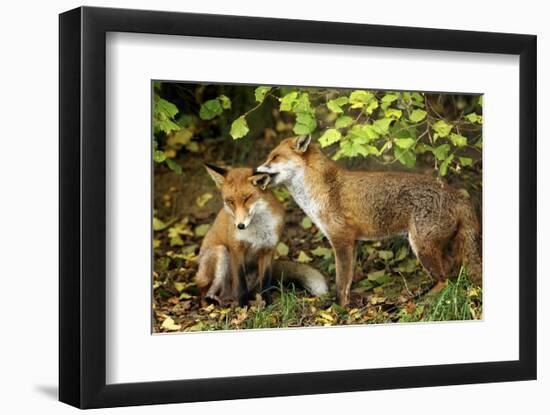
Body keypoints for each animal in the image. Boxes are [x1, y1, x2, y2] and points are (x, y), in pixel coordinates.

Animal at [197, 165, 330, 306]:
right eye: (230, 201)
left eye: (247, 198)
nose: (240, 226)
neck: (256, 233)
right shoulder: (236, 249)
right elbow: (240, 281)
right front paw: (243, 304)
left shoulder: (268, 249)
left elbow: (265, 280)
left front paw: (267, 301)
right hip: (220, 252)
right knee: (205, 293)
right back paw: (213, 300)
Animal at [258, 135, 484, 308]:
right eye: (268, 157)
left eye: (275, 157)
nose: (257, 171)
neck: (321, 189)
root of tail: (458, 195)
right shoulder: (352, 242)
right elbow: (348, 282)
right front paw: (346, 305)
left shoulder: (341, 240)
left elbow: (340, 282)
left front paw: (339, 309)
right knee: (452, 270)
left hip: (422, 247)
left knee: (445, 279)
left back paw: (423, 299)